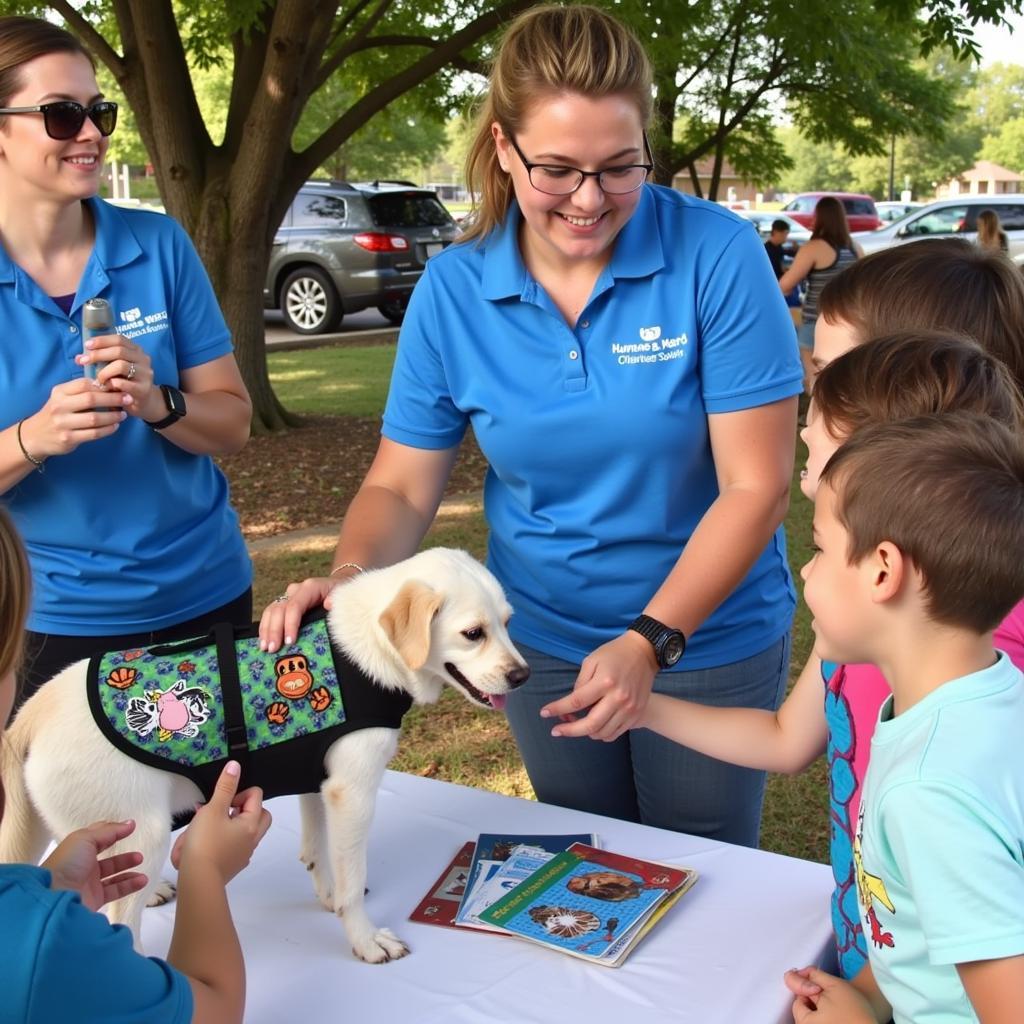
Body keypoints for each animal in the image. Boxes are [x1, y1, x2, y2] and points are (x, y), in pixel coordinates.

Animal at [0, 548, 528, 962]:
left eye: (507, 624)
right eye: (473, 633)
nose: (523, 677)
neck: (361, 654)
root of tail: (30, 713)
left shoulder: (316, 781)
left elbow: (318, 853)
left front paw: (328, 896)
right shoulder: (353, 793)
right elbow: (352, 878)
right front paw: (363, 938)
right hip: (145, 834)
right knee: (118, 923)